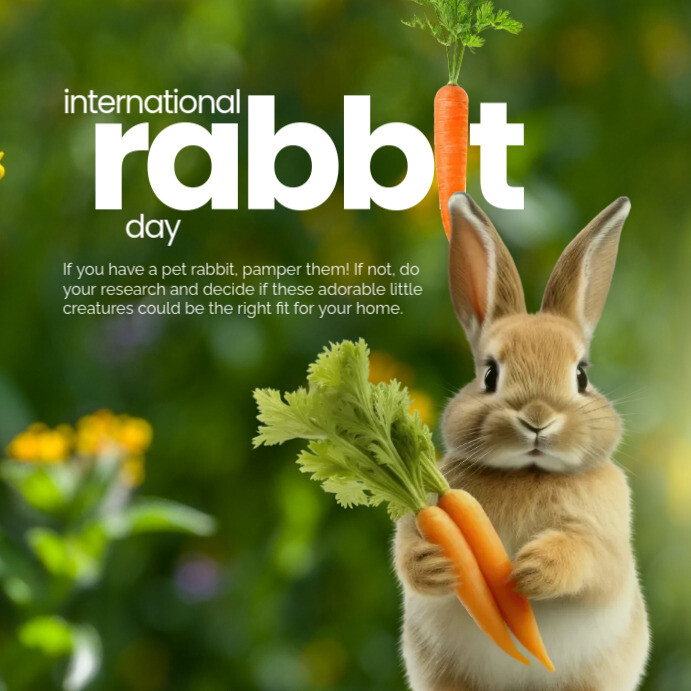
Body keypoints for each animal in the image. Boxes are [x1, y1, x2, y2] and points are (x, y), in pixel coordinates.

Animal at [394, 193, 650, 691]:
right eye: (490, 375)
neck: (528, 473)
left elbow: (592, 559)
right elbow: (406, 552)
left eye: (581, 375)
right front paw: (437, 563)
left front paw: (530, 570)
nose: (537, 420)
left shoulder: (607, 540)